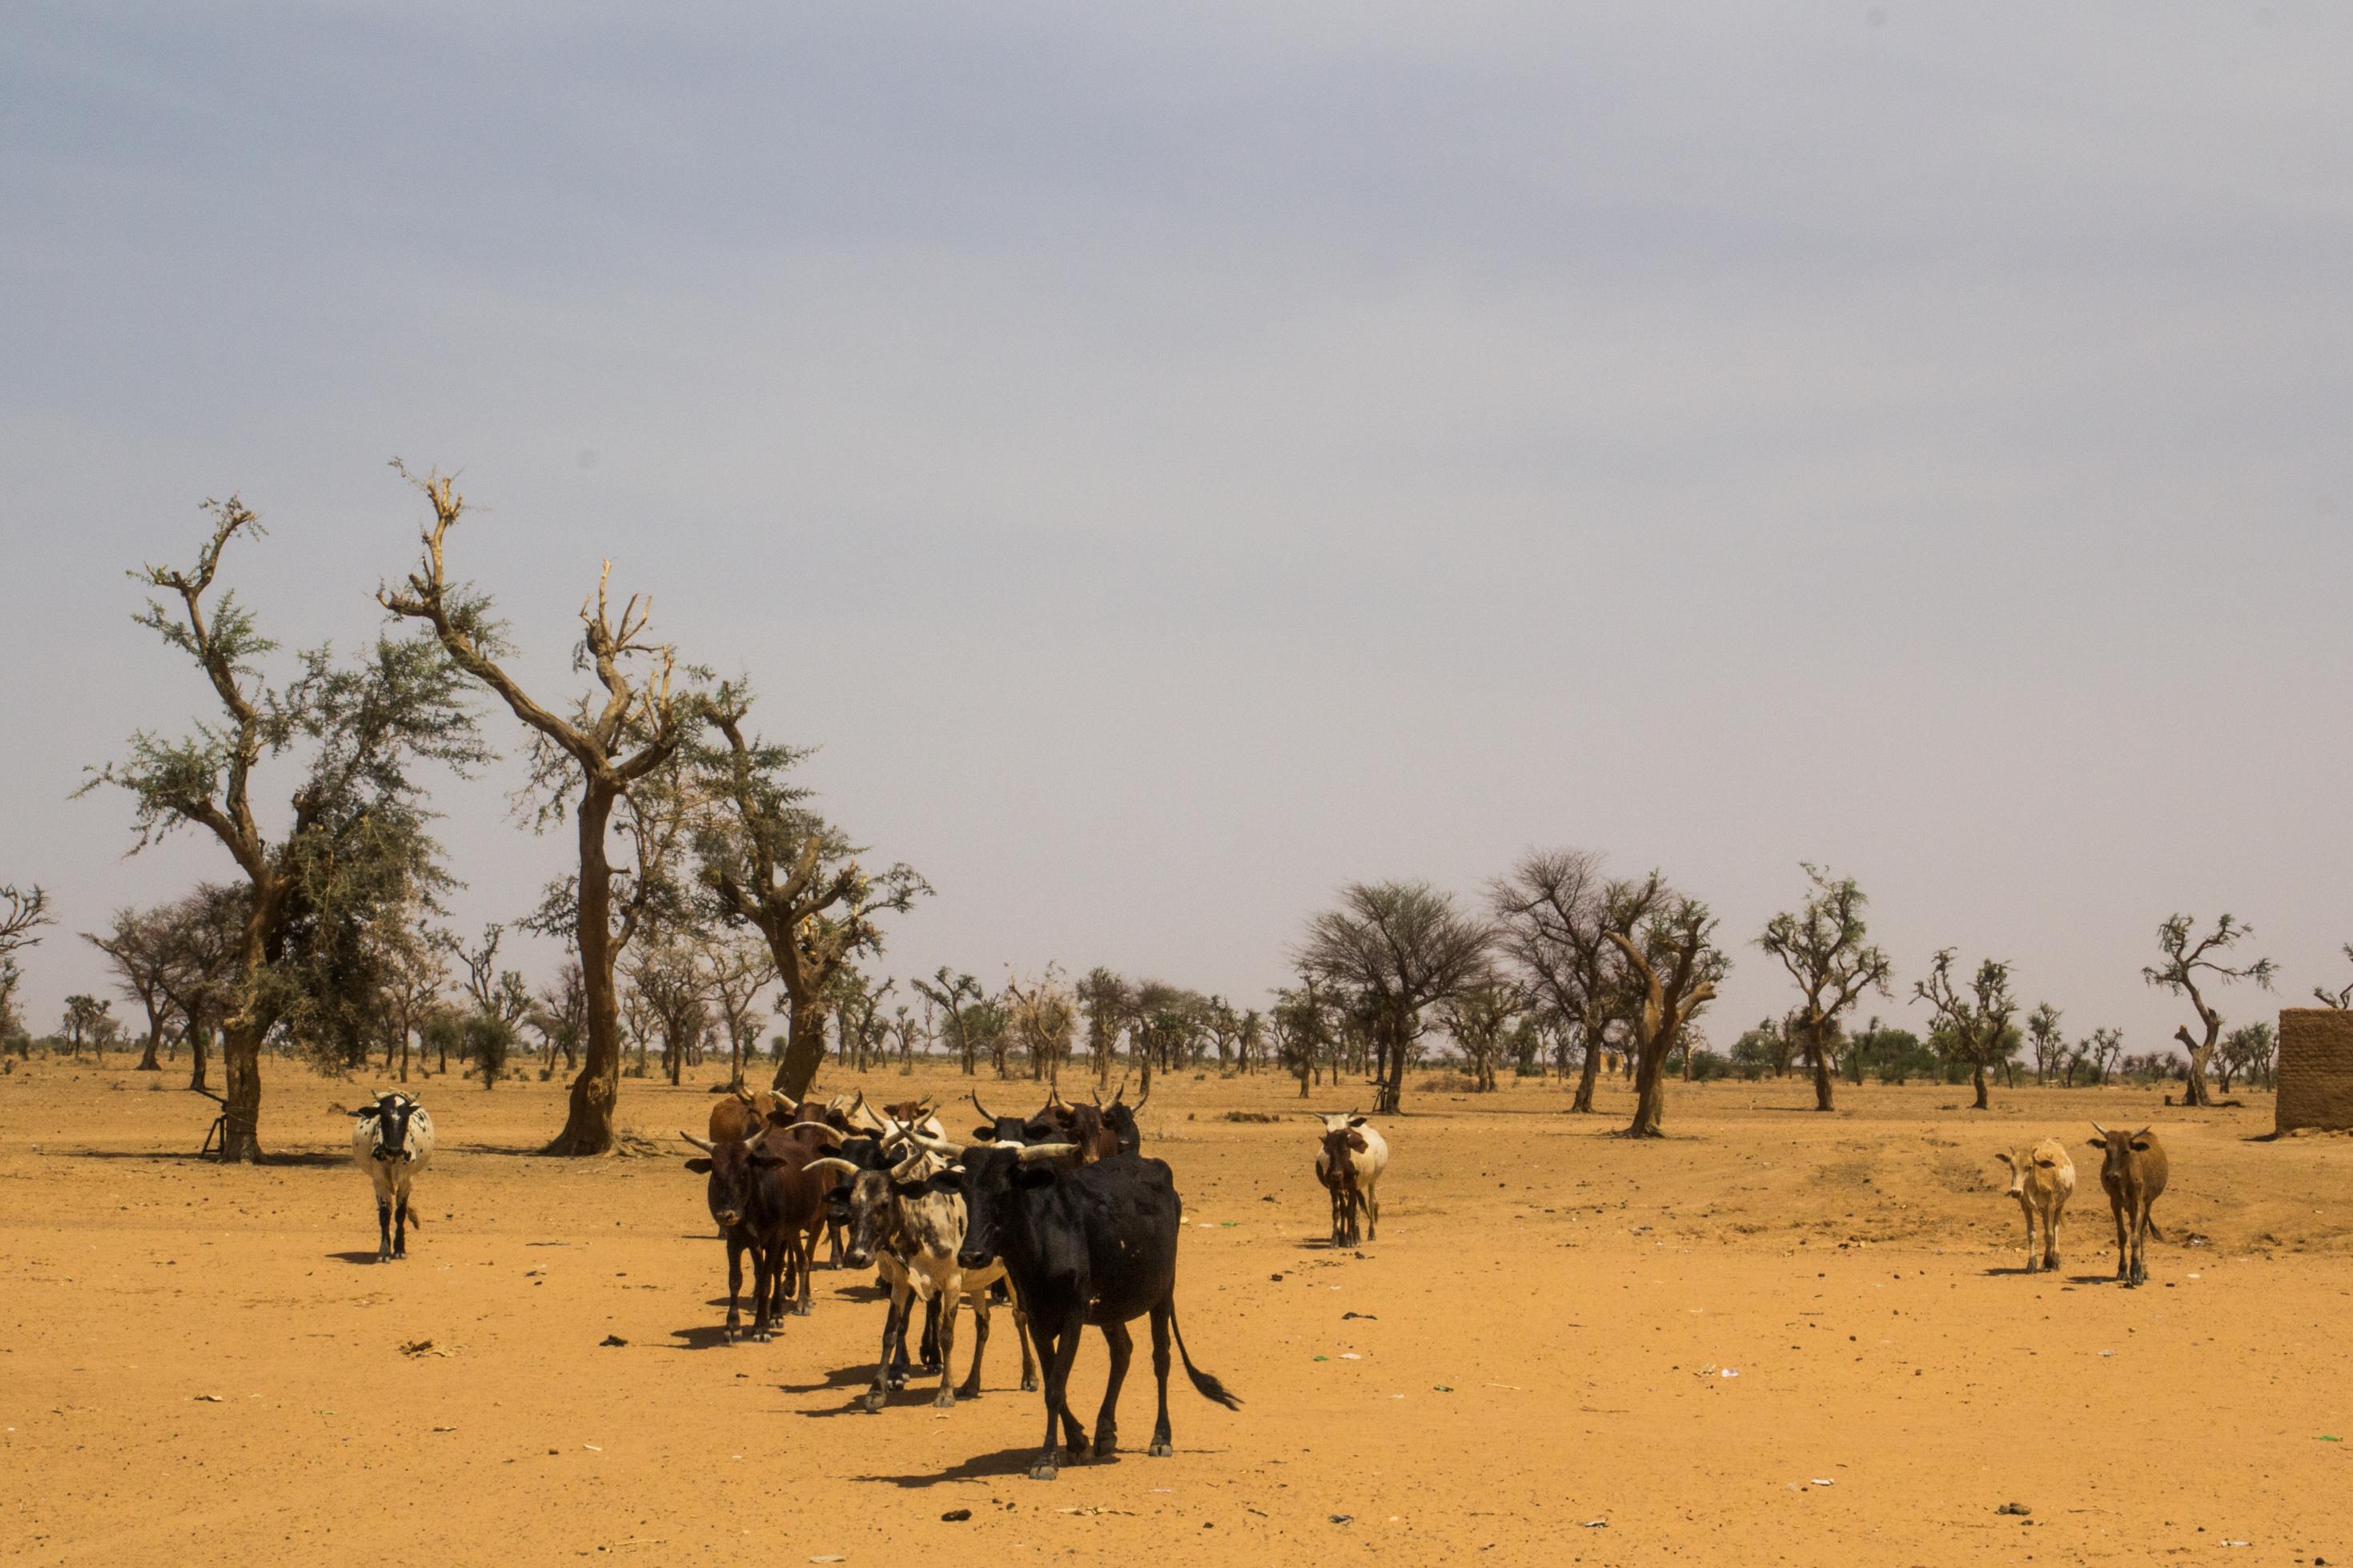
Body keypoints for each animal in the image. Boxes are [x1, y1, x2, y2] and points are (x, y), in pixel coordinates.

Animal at [352, 1090, 437, 1260]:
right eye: (383, 1116)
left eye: (406, 1117)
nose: (394, 1149)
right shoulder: (379, 1180)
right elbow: (385, 1214)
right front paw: (384, 1251)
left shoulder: (407, 1180)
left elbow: (400, 1213)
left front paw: (399, 1249)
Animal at [1995, 1142, 2070, 1278]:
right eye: (2011, 1166)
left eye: (2029, 1167)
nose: (2015, 1192)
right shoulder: (2026, 1207)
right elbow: (2031, 1234)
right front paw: (2032, 1264)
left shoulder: (2050, 1205)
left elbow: (2050, 1234)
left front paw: (2049, 1261)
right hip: (2044, 1212)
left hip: (2060, 1205)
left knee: (2055, 1228)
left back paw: (2056, 1259)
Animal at [2098, 1123, 2164, 1297]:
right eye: (2107, 1150)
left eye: (2126, 1151)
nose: (2111, 1176)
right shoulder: (2114, 1203)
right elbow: (2122, 1236)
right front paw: (2122, 1271)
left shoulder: (2140, 1202)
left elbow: (2135, 1237)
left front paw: (2136, 1273)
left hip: (2148, 1203)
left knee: (2142, 1232)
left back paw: (2144, 1269)